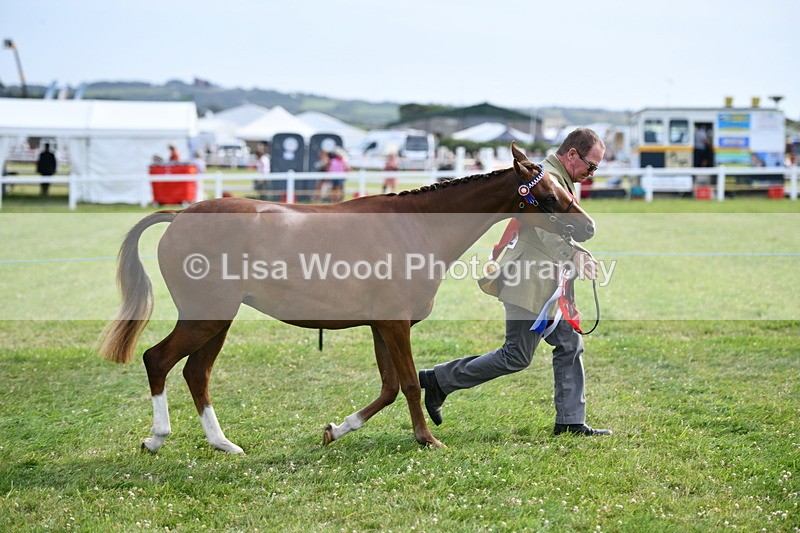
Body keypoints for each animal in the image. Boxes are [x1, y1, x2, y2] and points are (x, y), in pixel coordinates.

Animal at [98, 142, 595, 452]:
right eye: (548, 195)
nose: (588, 227)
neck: (417, 227)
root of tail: (180, 215)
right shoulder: (394, 325)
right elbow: (409, 383)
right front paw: (427, 439)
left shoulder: (380, 326)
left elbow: (389, 387)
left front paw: (336, 430)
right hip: (205, 318)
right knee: (158, 360)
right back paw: (156, 438)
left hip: (217, 320)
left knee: (196, 373)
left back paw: (223, 443)